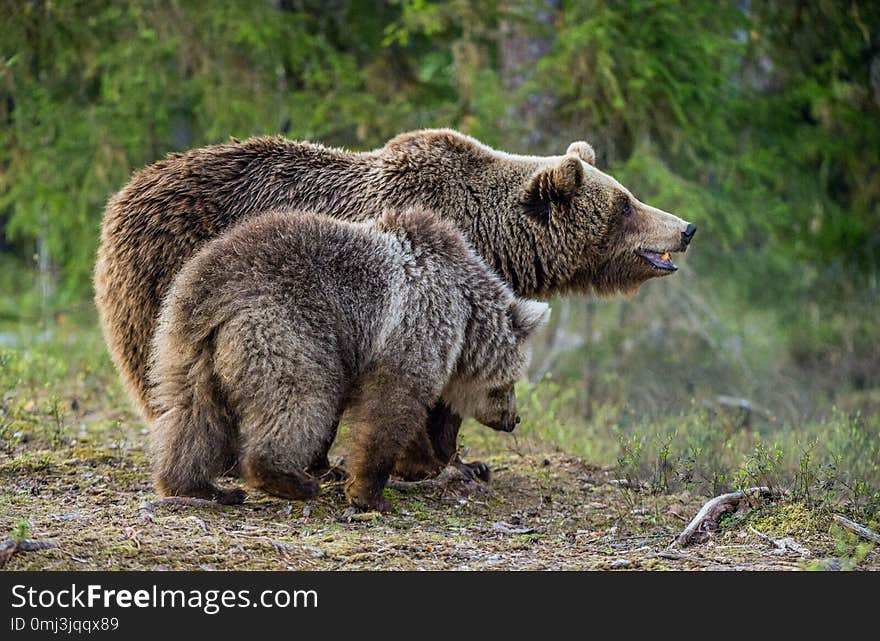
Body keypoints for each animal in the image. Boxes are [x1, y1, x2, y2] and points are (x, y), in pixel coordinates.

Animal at [94, 129, 696, 480]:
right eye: (624, 204)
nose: (685, 228)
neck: (494, 240)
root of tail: (128, 188)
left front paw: (462, 460)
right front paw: (428, 461)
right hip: (171, 275)